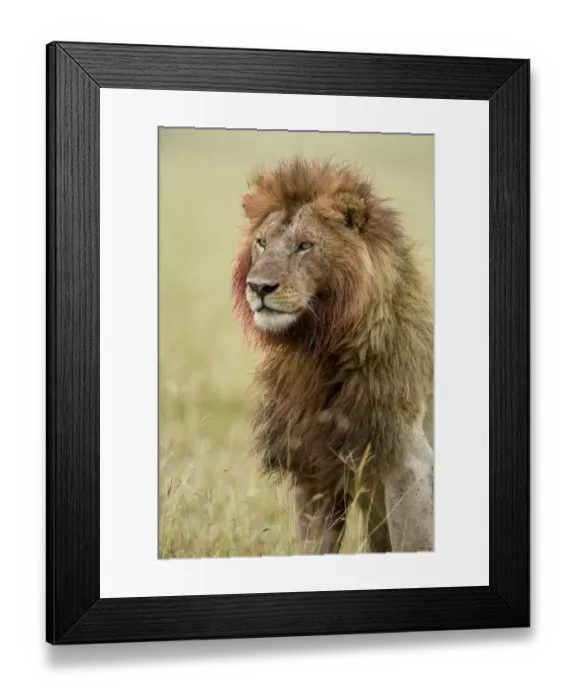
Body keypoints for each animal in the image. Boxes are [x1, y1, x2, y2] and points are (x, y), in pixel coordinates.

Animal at [232, 156, 434, 554]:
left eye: (304, 246)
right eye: (262, 243)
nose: (259, 287)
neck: (318, 351)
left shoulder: (409, 464)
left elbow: (413, 544)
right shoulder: (314, 470)